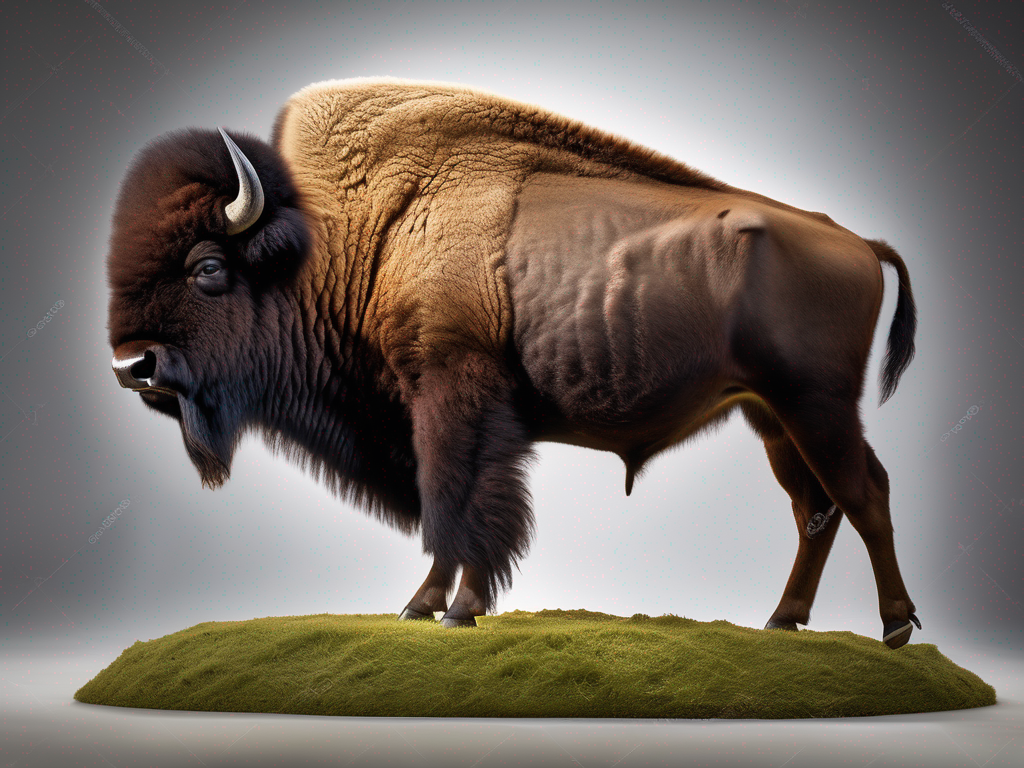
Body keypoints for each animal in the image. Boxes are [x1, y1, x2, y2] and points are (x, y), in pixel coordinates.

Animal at [109, 77, 920, 648]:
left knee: (864, 493)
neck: (360, 233)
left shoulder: (449, 391)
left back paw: (895, 628)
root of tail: (857, 240)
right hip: (769, 415)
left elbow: (455, 501)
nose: (131, 365)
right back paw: (782, 623)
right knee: (816, 508)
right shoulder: (459, 410)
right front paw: (437, 609)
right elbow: (469, 506)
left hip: (815, 405)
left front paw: (441, 610)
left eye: (208, 266)